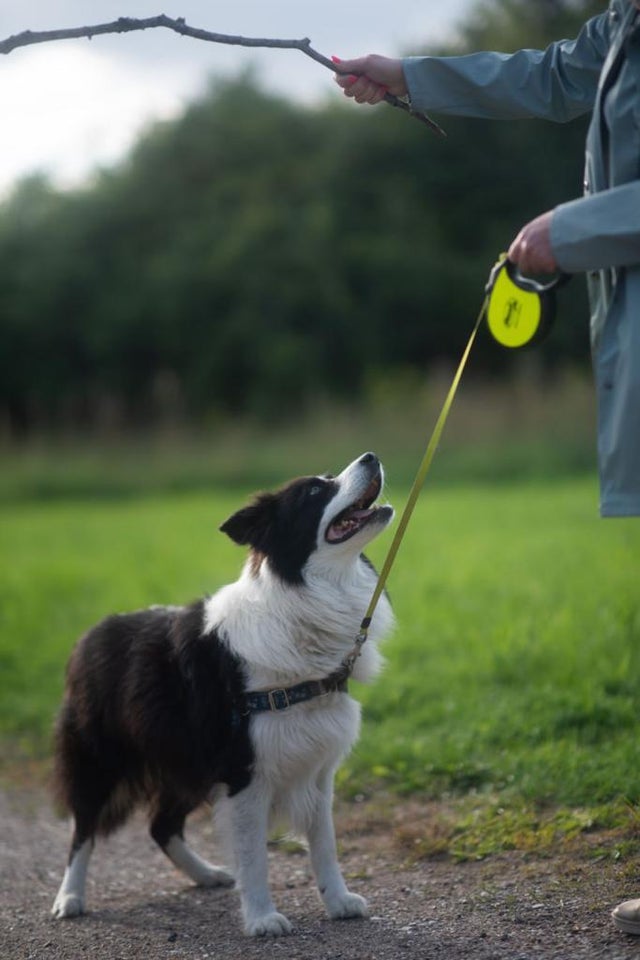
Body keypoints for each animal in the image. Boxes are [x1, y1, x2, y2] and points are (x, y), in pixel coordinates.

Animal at [51, 452, 396, 936]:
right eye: (314, 490)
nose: (371, 457)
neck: (302, 604)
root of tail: (88, 636)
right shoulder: (244, 770)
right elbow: (254, 856)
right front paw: (263, 918)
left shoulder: (317, 767)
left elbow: (325, 844)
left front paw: (339, 901)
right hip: (101, 756)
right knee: (82, 829)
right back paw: (70, 898)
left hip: (184, 760)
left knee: (160, 825)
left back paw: (206, 875)